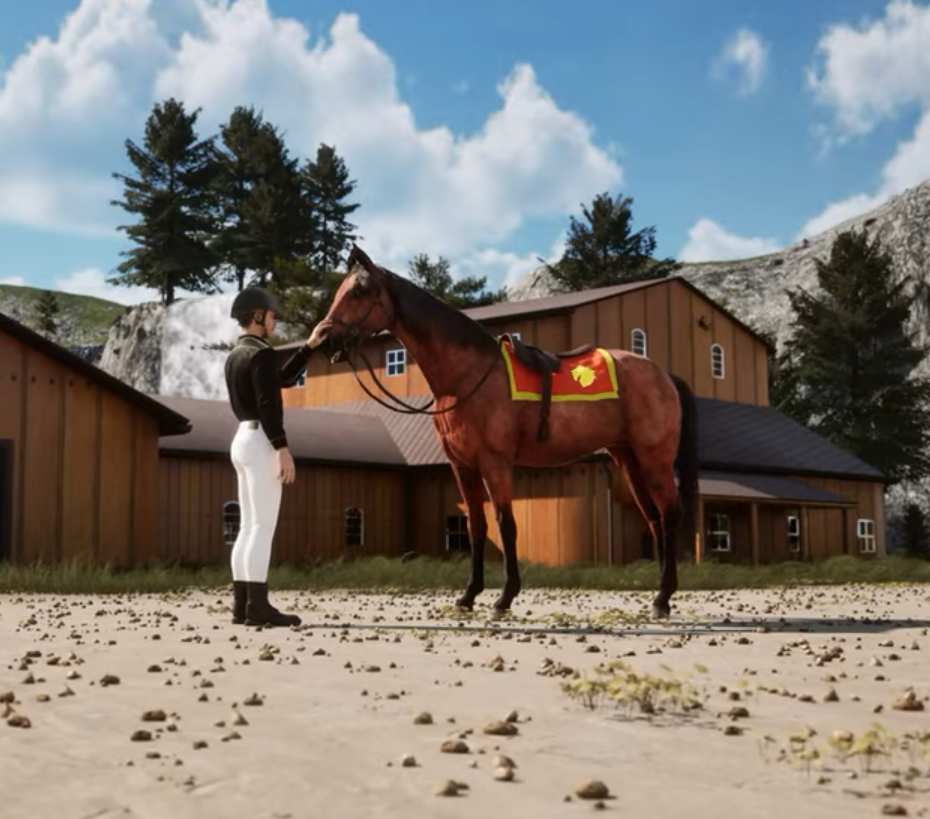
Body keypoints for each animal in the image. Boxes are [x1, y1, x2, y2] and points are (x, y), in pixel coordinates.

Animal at [319, 243, 700, 620]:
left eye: (358, 291)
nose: (324, 338)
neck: (468, 376)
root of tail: (663, 374)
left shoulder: (495, 463)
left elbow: (506, 523)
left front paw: (504, 597)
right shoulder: (462, 466)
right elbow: (475, 526)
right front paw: (469, 594)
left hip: (654, 459)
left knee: (669, 513)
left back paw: (663, 597)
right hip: (628, 459)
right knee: (653, 517)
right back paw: (659, 594)